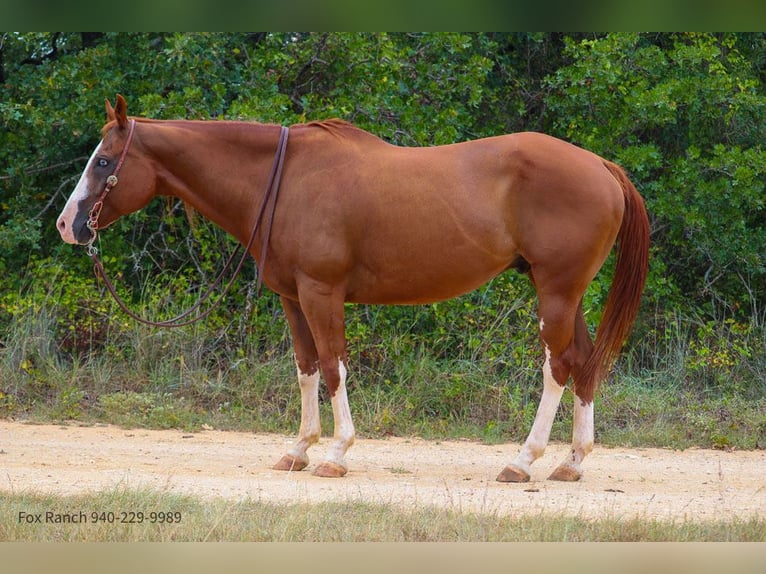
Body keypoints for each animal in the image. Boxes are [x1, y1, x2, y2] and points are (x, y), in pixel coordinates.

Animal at [57, 95, 649, 481]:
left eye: (104, 161)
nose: (68, 225)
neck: (285, 179)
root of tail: (601, 166)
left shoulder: (322, 293)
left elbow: (334, 364)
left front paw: (336, 454)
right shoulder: (292, 297)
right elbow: (306, 367)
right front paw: (298, 450)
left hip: (556, 292)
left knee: (558, 367)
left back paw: (523, 460)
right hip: (567, 295)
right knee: (584, 361)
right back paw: (572, 462)